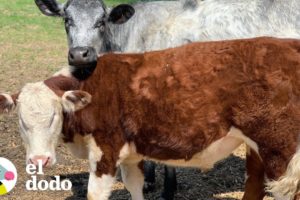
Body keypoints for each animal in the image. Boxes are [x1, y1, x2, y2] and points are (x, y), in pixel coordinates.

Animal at [0, 36, 300, 199]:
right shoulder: (130, 155)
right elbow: (135, 186)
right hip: (257, 146)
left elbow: (95, 193)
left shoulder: (105, 150)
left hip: (280, 147)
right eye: (21, 121)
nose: (39, 160)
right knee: (255, 184)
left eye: (54, 116)